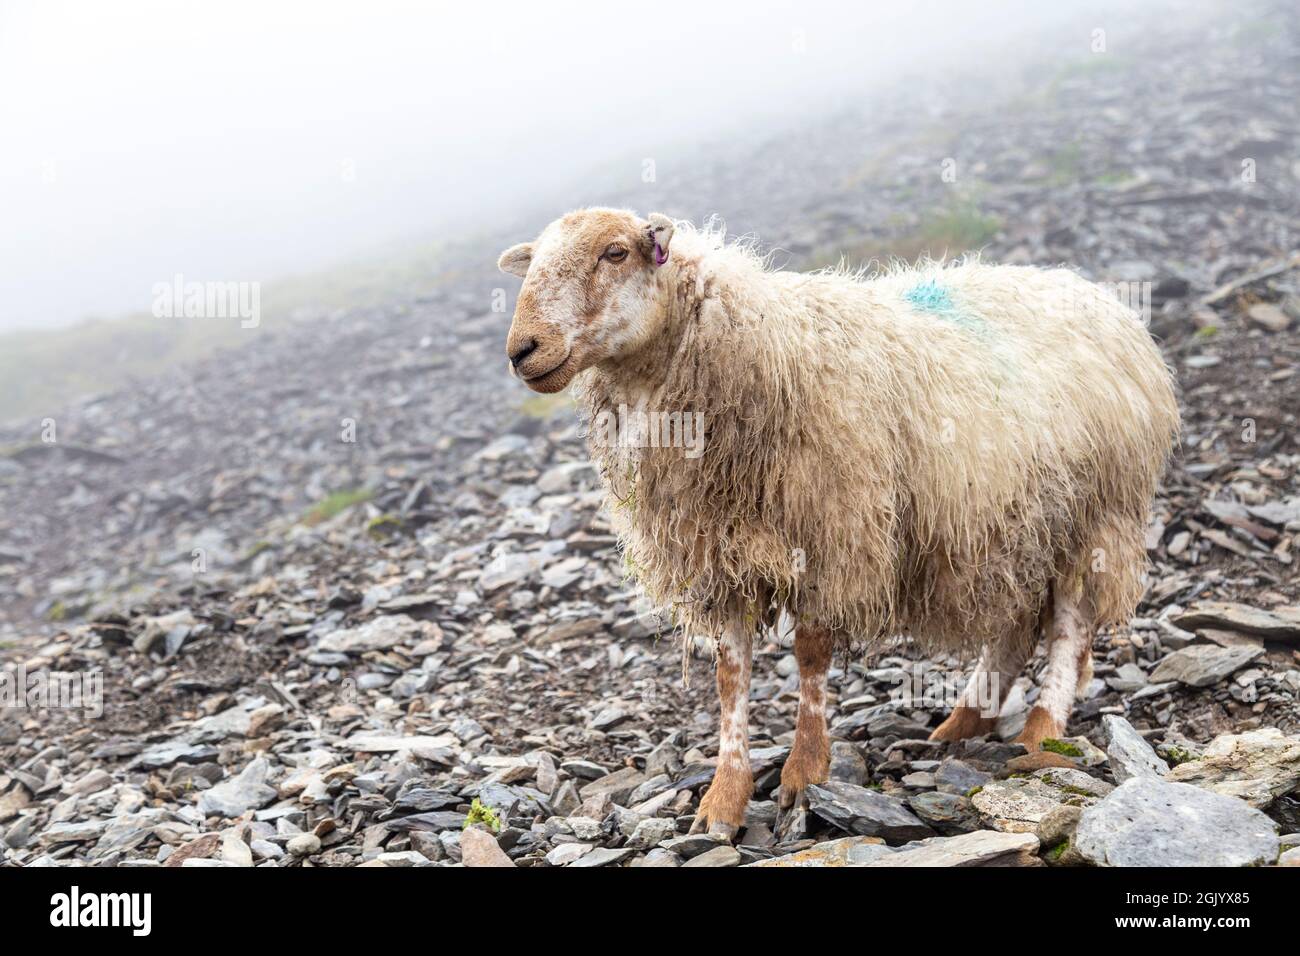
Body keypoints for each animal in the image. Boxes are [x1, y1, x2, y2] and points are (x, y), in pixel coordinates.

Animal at [493, 208, 1180, 837]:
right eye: (533, 266)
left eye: (615, 252)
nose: (522, 351)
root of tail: (1091, 292)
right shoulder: (718, 554)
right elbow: (729, 678)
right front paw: (723, 800)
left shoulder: (832, 532)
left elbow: (811, 654)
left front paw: (805, 774)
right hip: (1012, 518)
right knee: (1014, 622)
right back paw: (964, 720)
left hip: (1098, 511)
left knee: (1070, 624)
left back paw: (1042, 732)